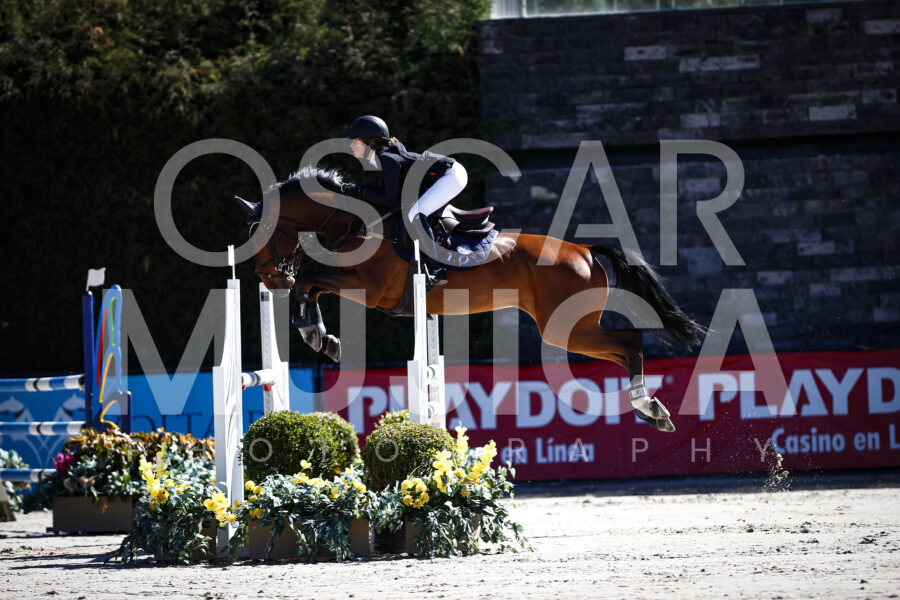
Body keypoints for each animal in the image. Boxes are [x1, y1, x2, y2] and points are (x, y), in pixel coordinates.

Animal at [236, 166, 706, 432]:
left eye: (260, 232)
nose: (269, 280)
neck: (357, 221)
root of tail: (585, 250)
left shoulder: (369, 287)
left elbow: (311, 278)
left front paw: (313, 331)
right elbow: (312, 283)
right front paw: (320, 335)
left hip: (566, 328)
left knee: (631, 343)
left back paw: (649, 407)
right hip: (573, 328)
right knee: (625, 348)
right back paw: (652, 410)